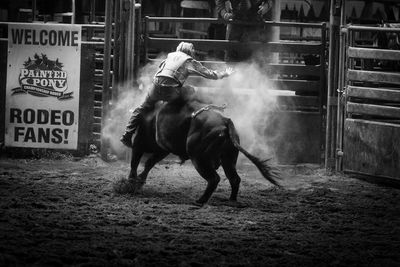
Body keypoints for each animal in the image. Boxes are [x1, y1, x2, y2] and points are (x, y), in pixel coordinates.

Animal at [128, 98, 278, 205]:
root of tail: (225, 121)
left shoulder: (139, 143)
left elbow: (135, 161)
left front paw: (132, 181)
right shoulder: (162, 149)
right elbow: (149, 162)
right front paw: (139, 180)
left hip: (199, 159)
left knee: (214, 179)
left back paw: (201, 200)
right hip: (228, 159)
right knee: (234, 178)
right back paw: (231, 200)